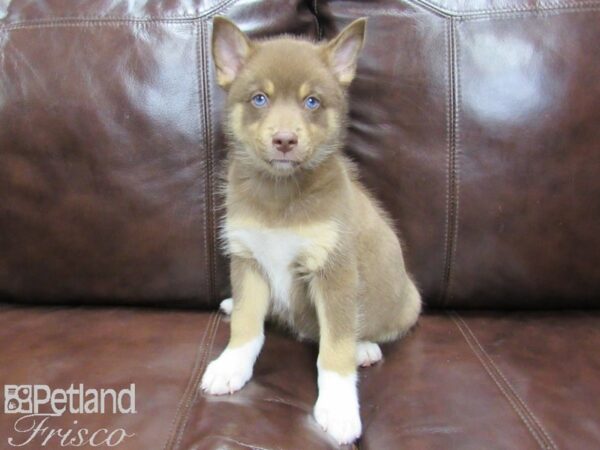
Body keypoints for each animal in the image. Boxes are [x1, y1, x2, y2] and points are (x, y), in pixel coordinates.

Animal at [202, 15, 422, 444]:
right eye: (259, 99)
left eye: (312, 102)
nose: (285, 140)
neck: (279, 193)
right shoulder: (248, 259)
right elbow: (247, 327)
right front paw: (231, 366)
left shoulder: (333, 272)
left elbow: (334, 350)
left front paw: (338, 409)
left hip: (405, 304)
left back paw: (364, 349)